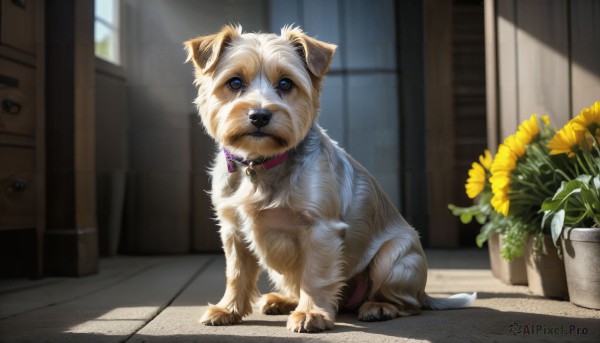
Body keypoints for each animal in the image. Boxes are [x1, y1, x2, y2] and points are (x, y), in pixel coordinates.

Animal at [183, 23, 474, 334]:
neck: (261, 164)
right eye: (235, 83)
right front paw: (228, 309)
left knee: (408, 303)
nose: (259, 115)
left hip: (394, 258)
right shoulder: (233, 230)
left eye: (285, 84)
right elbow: (236, 273)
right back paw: (282, 300)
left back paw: (379, 307)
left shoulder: (321, 229)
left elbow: (315, 275)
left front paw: (311, 314)